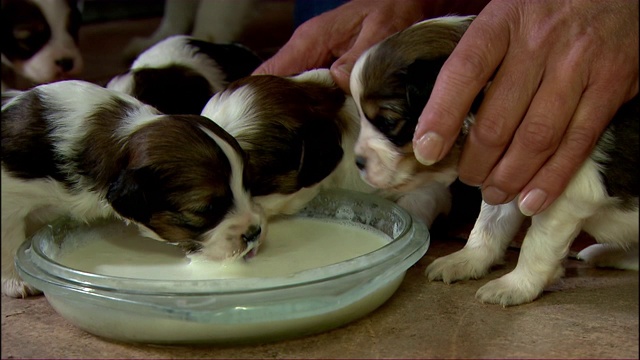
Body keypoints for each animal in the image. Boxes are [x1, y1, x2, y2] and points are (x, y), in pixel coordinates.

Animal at [1, 79, 264, 298]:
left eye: (247, 186)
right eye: (206, 209)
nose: (255, 232)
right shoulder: (9, 195)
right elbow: (8, 238)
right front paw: (15, 281)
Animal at [352, 14, 636, 306]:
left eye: (388, 122)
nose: (358, 162)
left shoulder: (561, 197)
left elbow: (536, 243)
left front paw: (515, 285)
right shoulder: (504, 180)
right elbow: (488, 225)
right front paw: (466, 260)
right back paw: (606, 253)